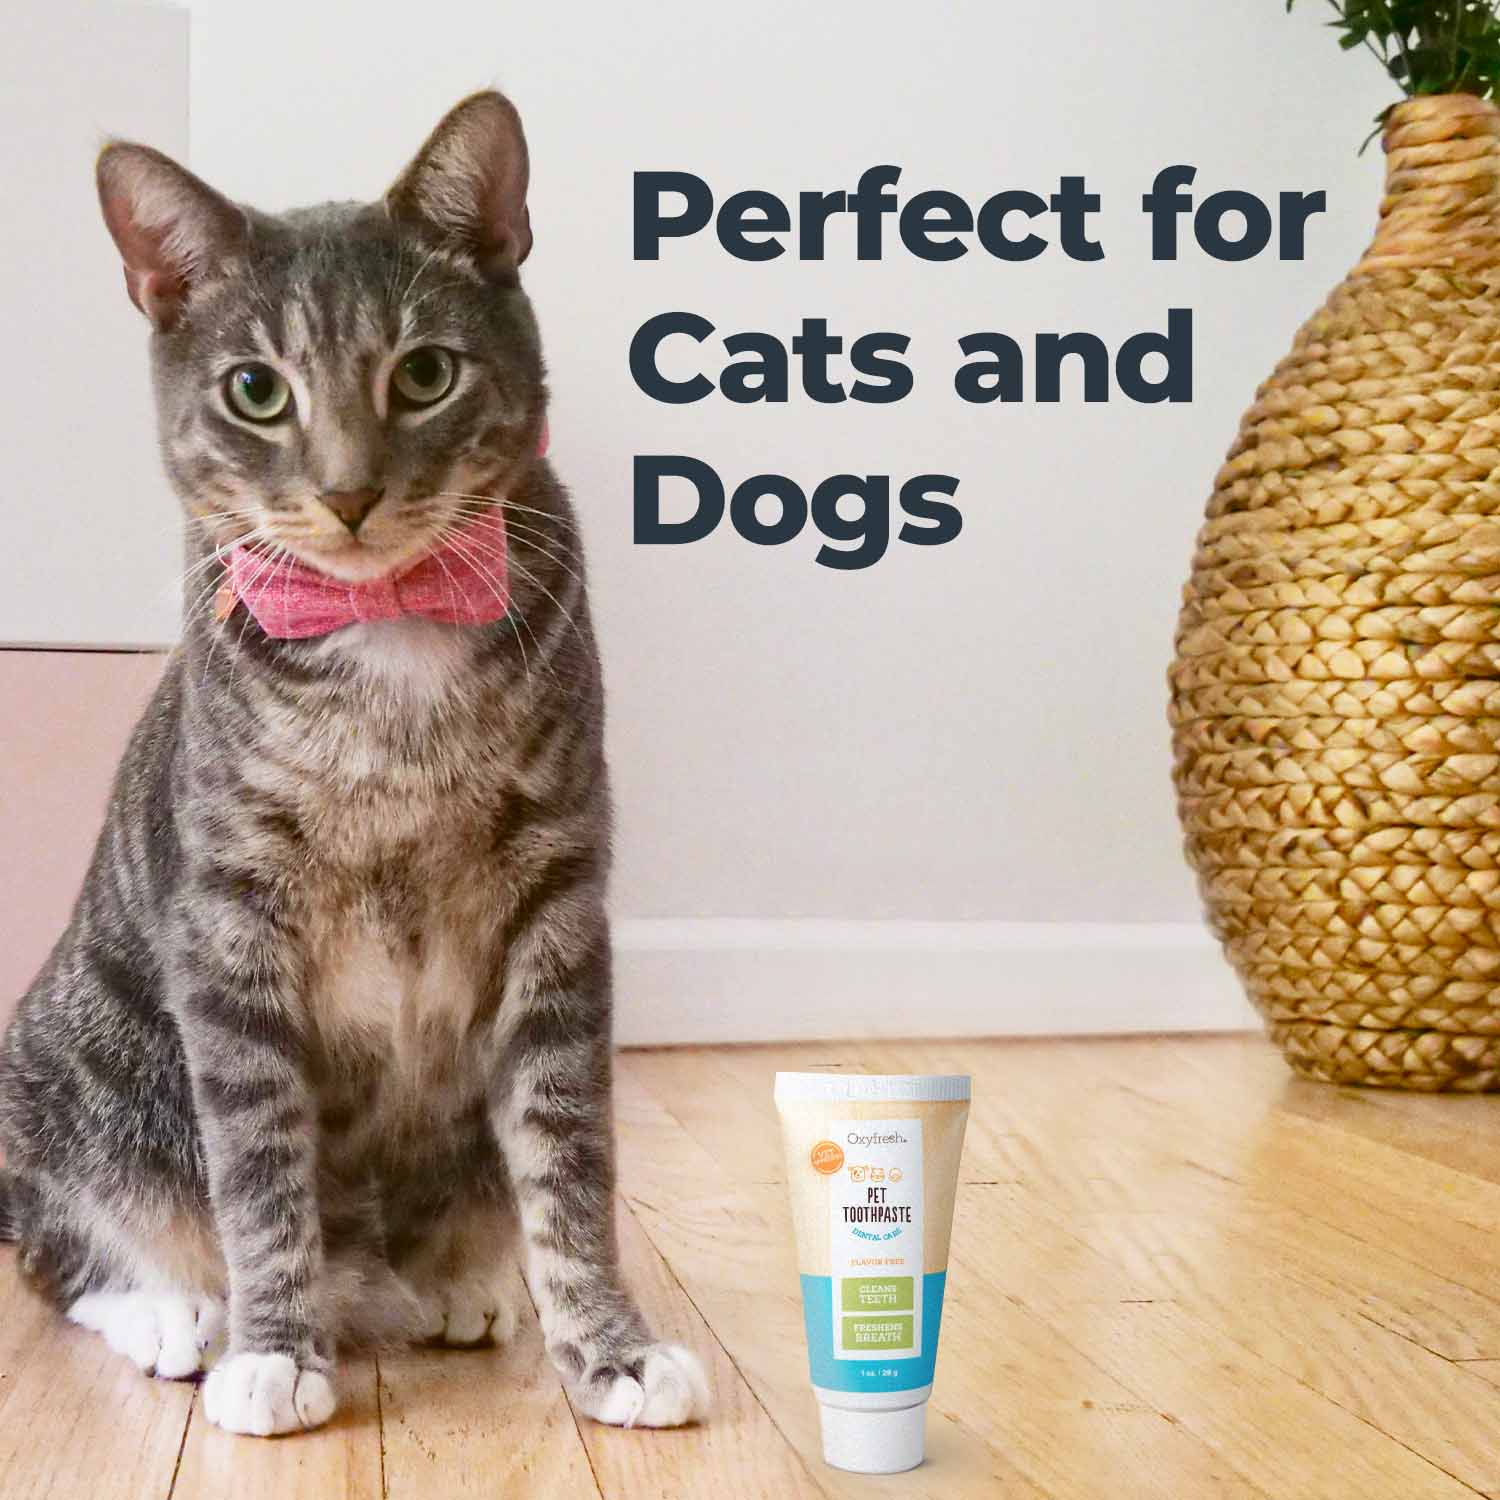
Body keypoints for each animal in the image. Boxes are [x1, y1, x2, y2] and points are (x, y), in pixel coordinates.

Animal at [0, 87, 708, 1434]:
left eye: (424, 373)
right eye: (255, 390)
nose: (347, 492)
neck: (388, 652)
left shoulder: (557, 902)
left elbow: (569, 1158)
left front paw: (611, 1346)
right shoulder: (231, 922)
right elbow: (259, 1160)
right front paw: (277, 1348)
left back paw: (451, 1283)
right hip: (77, 1053)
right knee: (61, 1238)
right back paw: (177, 1309)